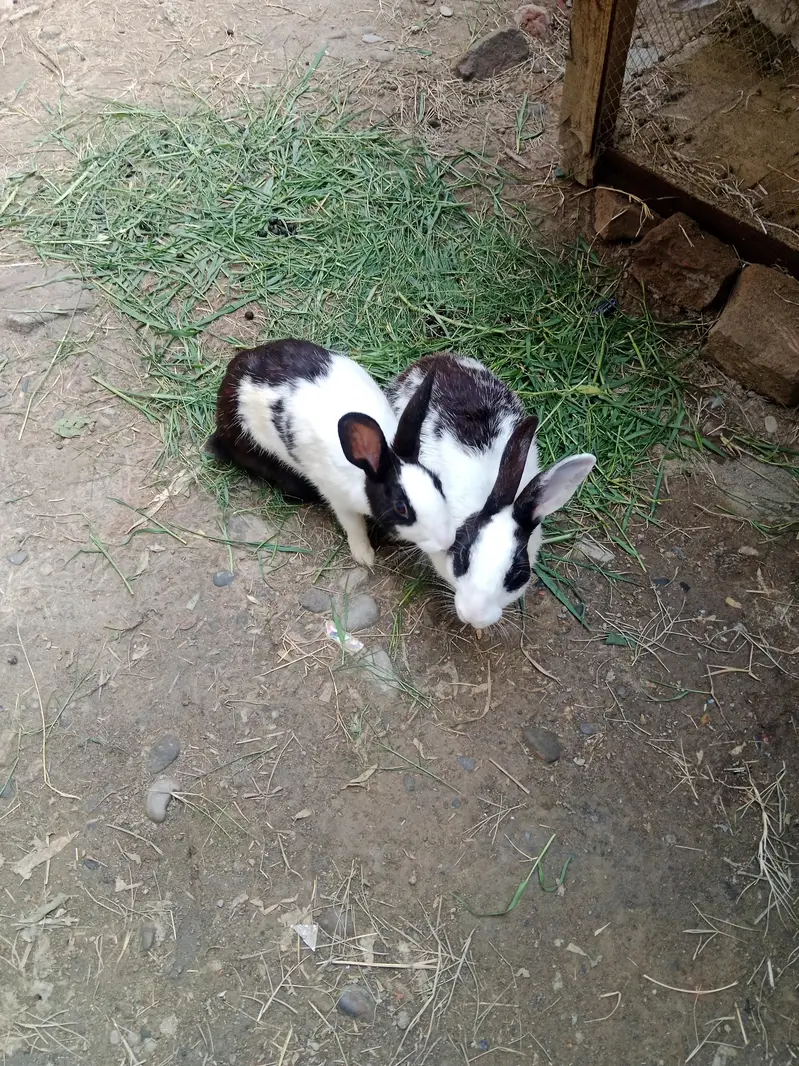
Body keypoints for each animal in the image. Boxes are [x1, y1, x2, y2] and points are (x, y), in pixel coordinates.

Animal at [206, 338, 455, 568]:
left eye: (438, 483)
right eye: (400, 508)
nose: (446, 542)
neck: (366, 471)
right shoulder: (339, 500)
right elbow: (354, 526)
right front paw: (364, 556)